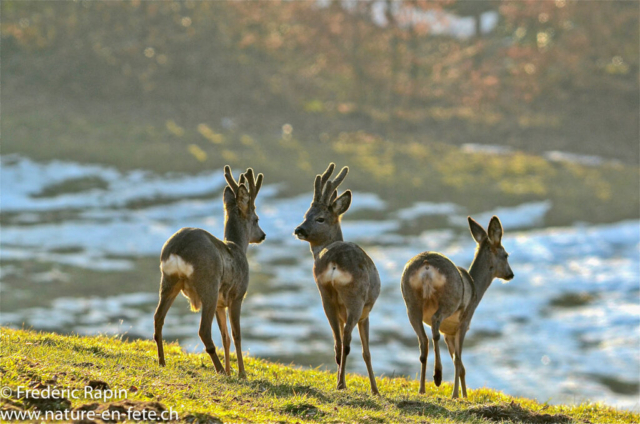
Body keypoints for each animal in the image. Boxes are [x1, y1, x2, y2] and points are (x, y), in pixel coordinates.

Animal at [152, 166, 264, 378]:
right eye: (256, 219)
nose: (262, 235)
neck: (237, 246)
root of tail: (178, 249)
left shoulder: (221, 303)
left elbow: (225, 337)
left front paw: (230, 370)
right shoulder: (237, 295)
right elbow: (236, 335)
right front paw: (241, 374)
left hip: (168, 280)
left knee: (158, 318)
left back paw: (162, 361)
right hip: (208, 285)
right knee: (203, 330)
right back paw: (219, 370)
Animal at [296, 164, 380, 396]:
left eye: (319, 218)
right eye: (307, 215)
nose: (299, 229)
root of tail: (334, 262)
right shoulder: (365, 314)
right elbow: (367, 352)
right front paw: (375, 390)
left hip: (325, 295)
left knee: (337, 341)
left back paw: (339, 382)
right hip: (355, 299)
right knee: (347, 342)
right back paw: (342, 384)